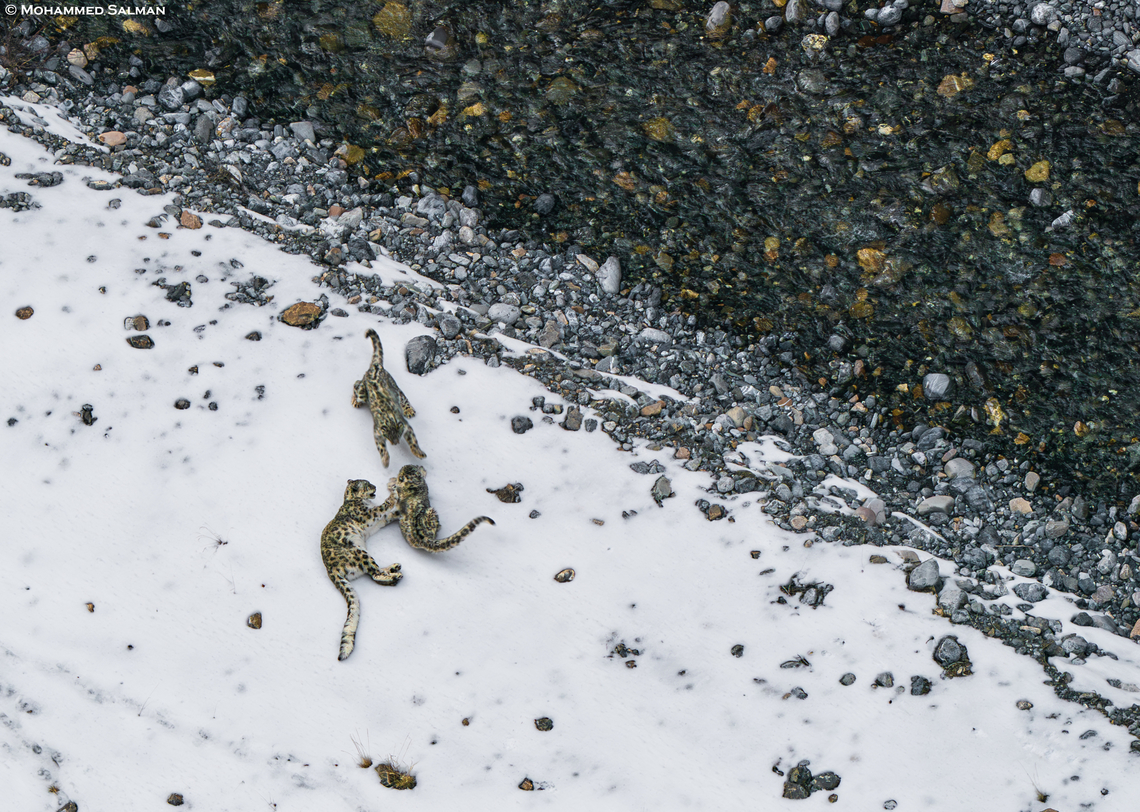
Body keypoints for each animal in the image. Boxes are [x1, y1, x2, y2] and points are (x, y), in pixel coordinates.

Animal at [320, 479, 403, 661]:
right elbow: (381, 508)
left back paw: (394, 568)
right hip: (359, 552)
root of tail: (330, 570)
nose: (375, 487)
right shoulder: (367, 516)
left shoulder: (372, 526)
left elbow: (384, 517)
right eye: (366, 484)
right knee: (374, 573)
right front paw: (393, 496)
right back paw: (395, 575)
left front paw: (397, 512)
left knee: (374, 571)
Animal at [352, 329, 426, 467]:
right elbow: (381, 447)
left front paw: (419, 453)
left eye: (397, 436)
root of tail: (376, 366)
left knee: (403, 396)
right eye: (389, 438)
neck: (389, 417)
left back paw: (409, 410)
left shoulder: (406, 426)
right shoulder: (377, 432)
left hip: (394, 386)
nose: (395, 443)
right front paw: (385, 460)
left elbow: (413, 440)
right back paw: (355, 401)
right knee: (356, 383)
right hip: (362, 392)